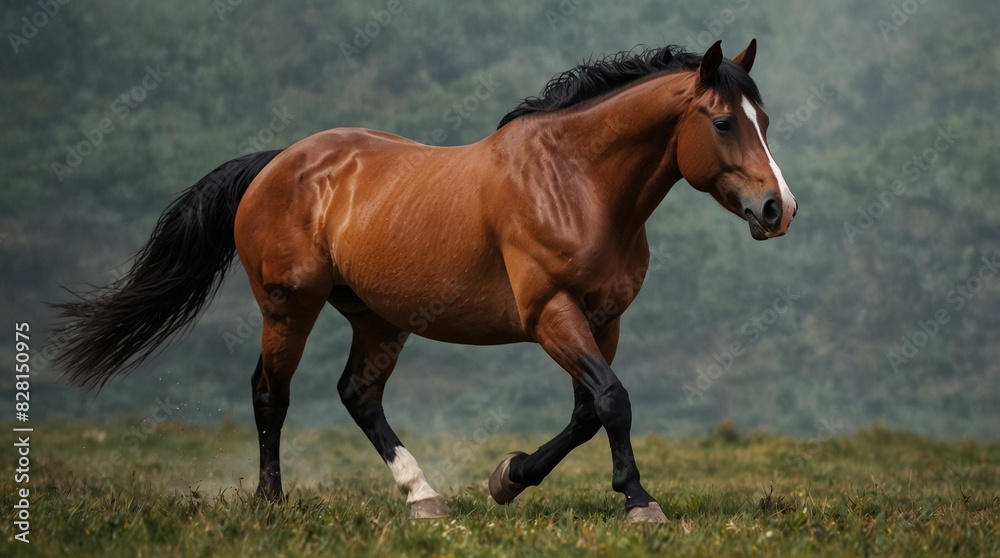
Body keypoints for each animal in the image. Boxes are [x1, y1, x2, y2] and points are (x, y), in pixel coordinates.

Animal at [52, 39, 795, 523]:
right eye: (722, 121)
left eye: (764, 121)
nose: (776, 209)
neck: (575, 181)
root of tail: (278, 163)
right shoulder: (550, 314)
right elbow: (614, 400)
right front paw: (639, 501)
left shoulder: (602, 321)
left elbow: (588, 412)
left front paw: (508, 478)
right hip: (289, 307)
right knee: (270, 394)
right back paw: (271, 503)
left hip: (378, 317)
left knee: (358, 396)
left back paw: (423, 495)